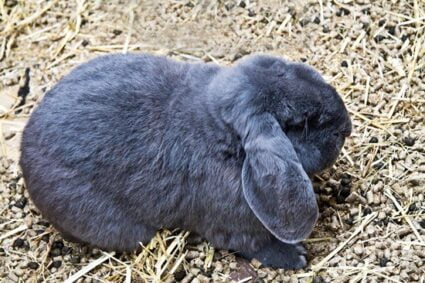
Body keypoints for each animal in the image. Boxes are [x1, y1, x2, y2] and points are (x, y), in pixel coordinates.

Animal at [19, 53, 352, 270]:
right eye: (301, 123)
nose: (346, 127)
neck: (223, 136)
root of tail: (25, 152)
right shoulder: (232, 226)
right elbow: (253, 245)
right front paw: (296, 257)